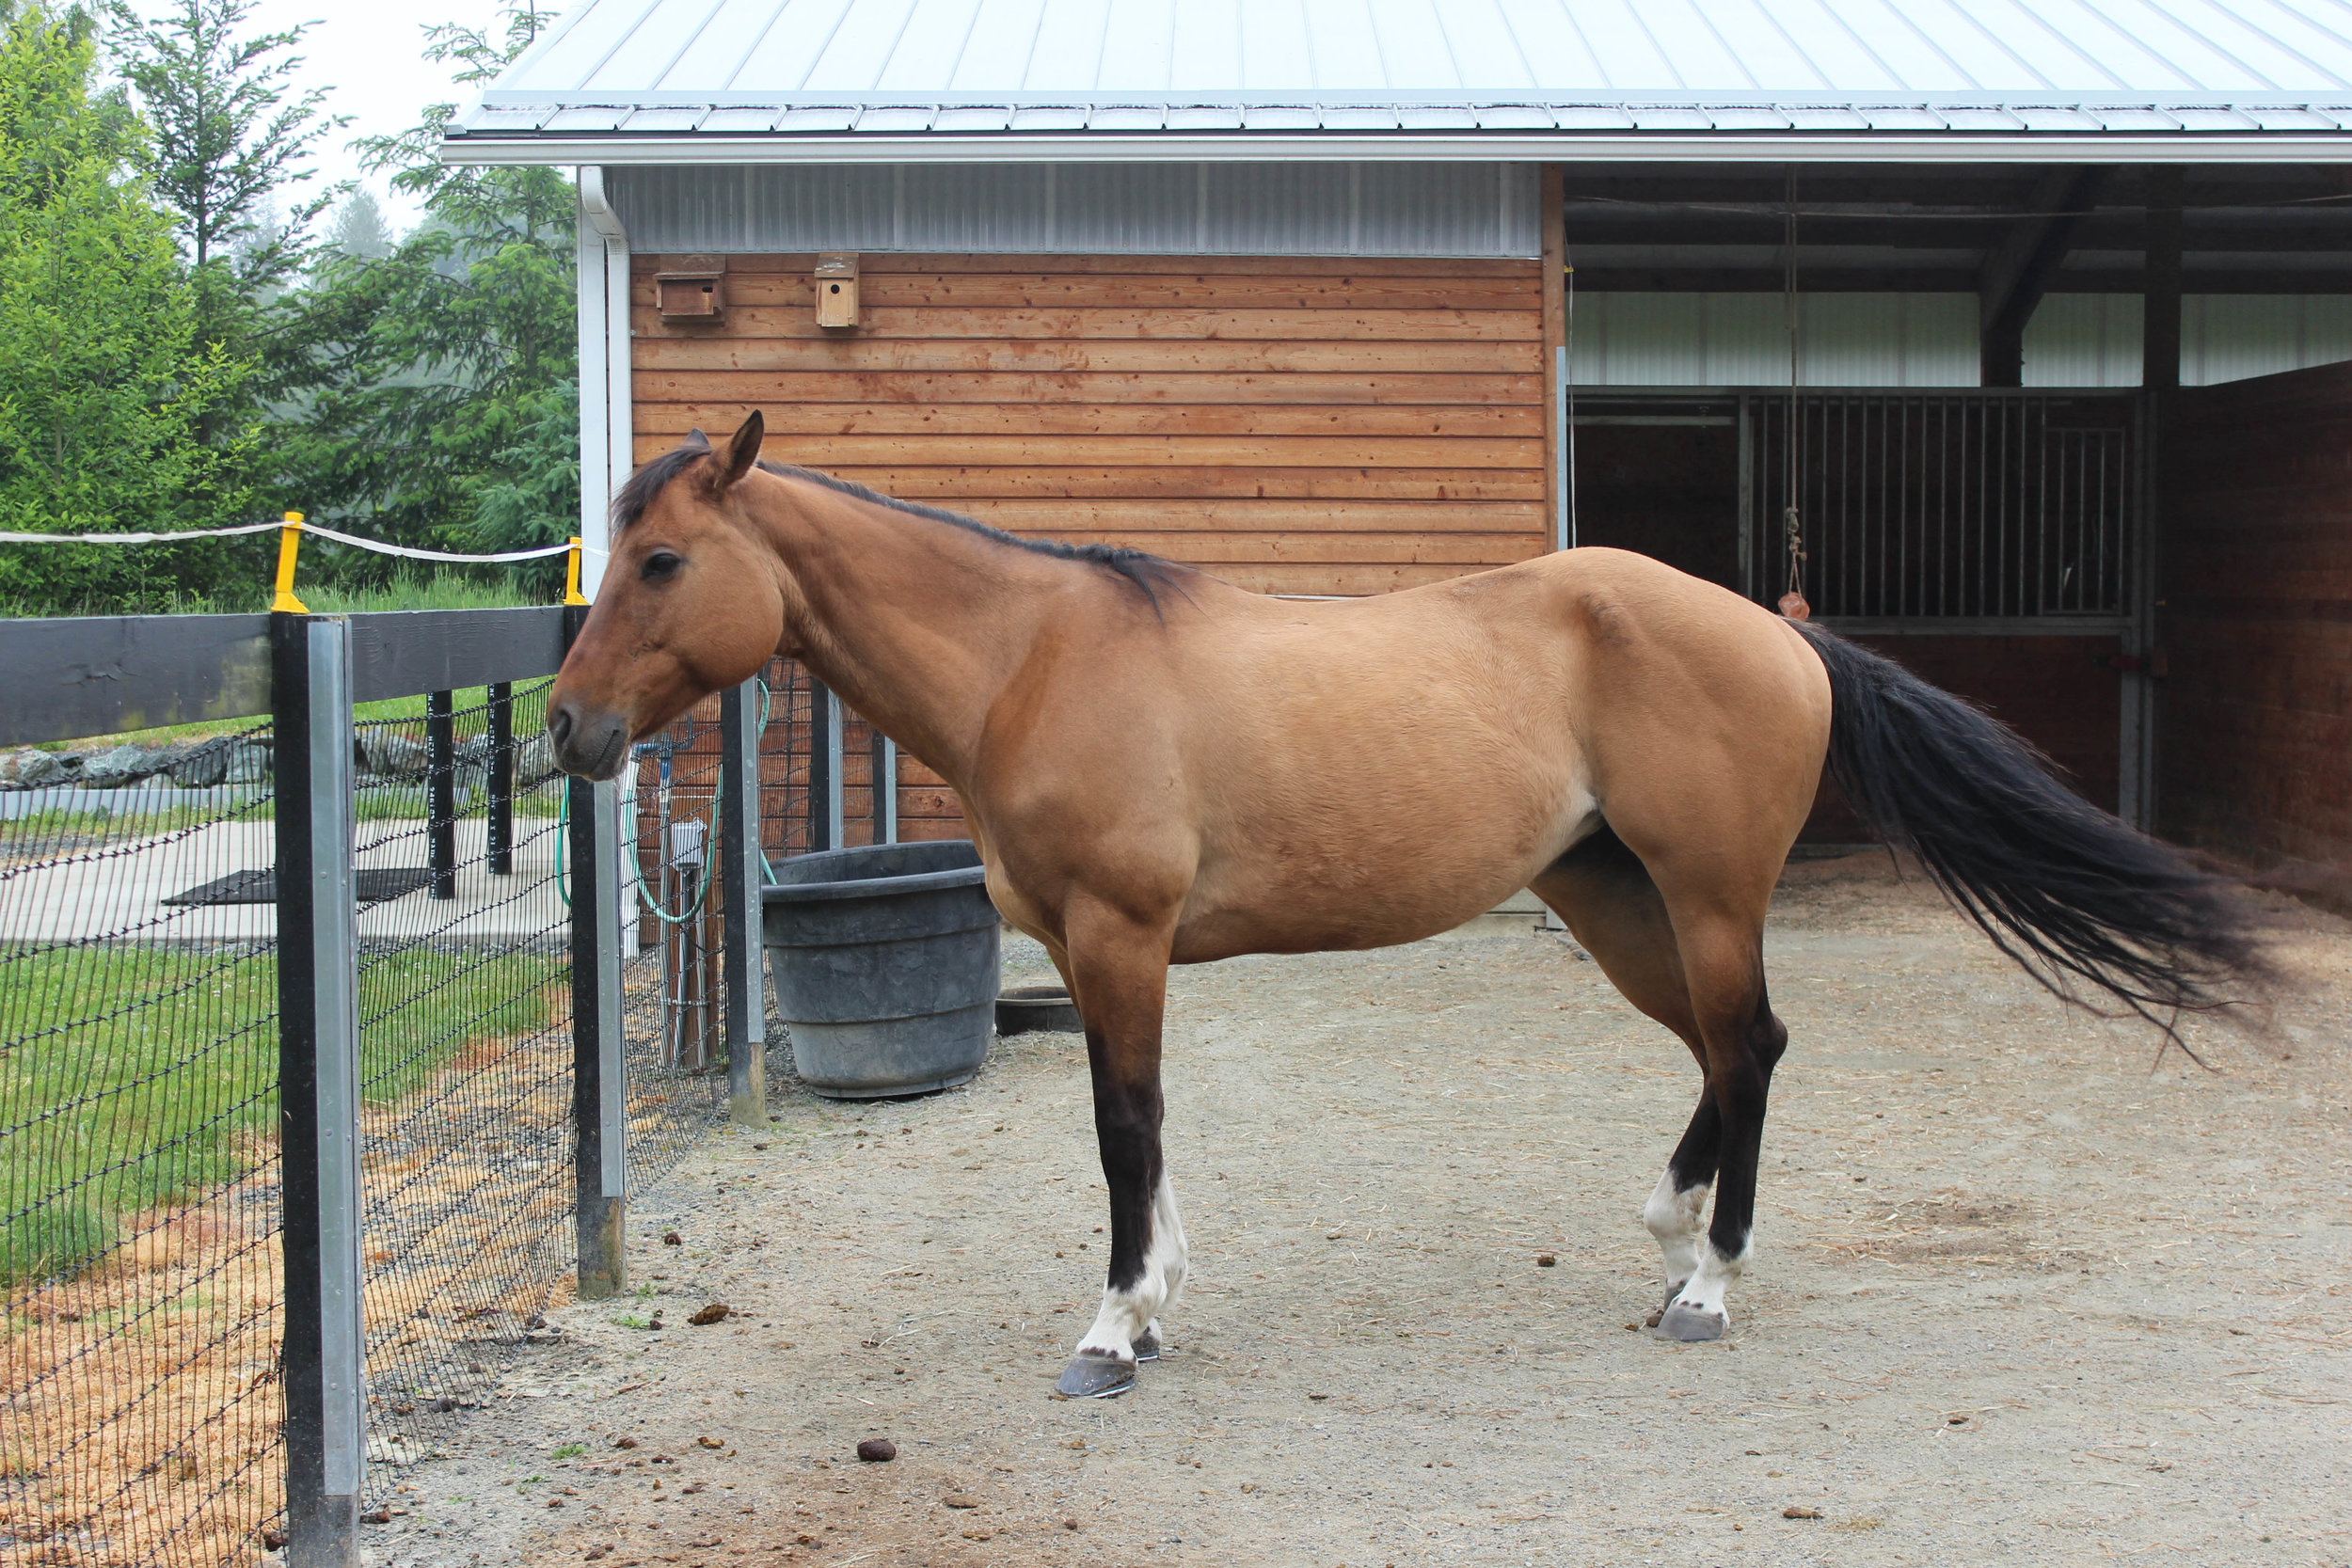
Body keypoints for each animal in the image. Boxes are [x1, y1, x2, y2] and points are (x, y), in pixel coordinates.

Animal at [550, 413, 2258, 1401]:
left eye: (664, 559)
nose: (565, 729)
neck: (1030, 658)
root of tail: (1781, 630)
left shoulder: (1119, 934)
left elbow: (1121, 1128)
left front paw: (1112, 1327)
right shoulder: (1099, 954)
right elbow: (1146, 1122)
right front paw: (1156, 1300)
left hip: (1706, 894)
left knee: (1752, 1048)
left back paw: (1709, 1283)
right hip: (1614, 900)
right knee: (1727, 1053)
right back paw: (1670, 1236)